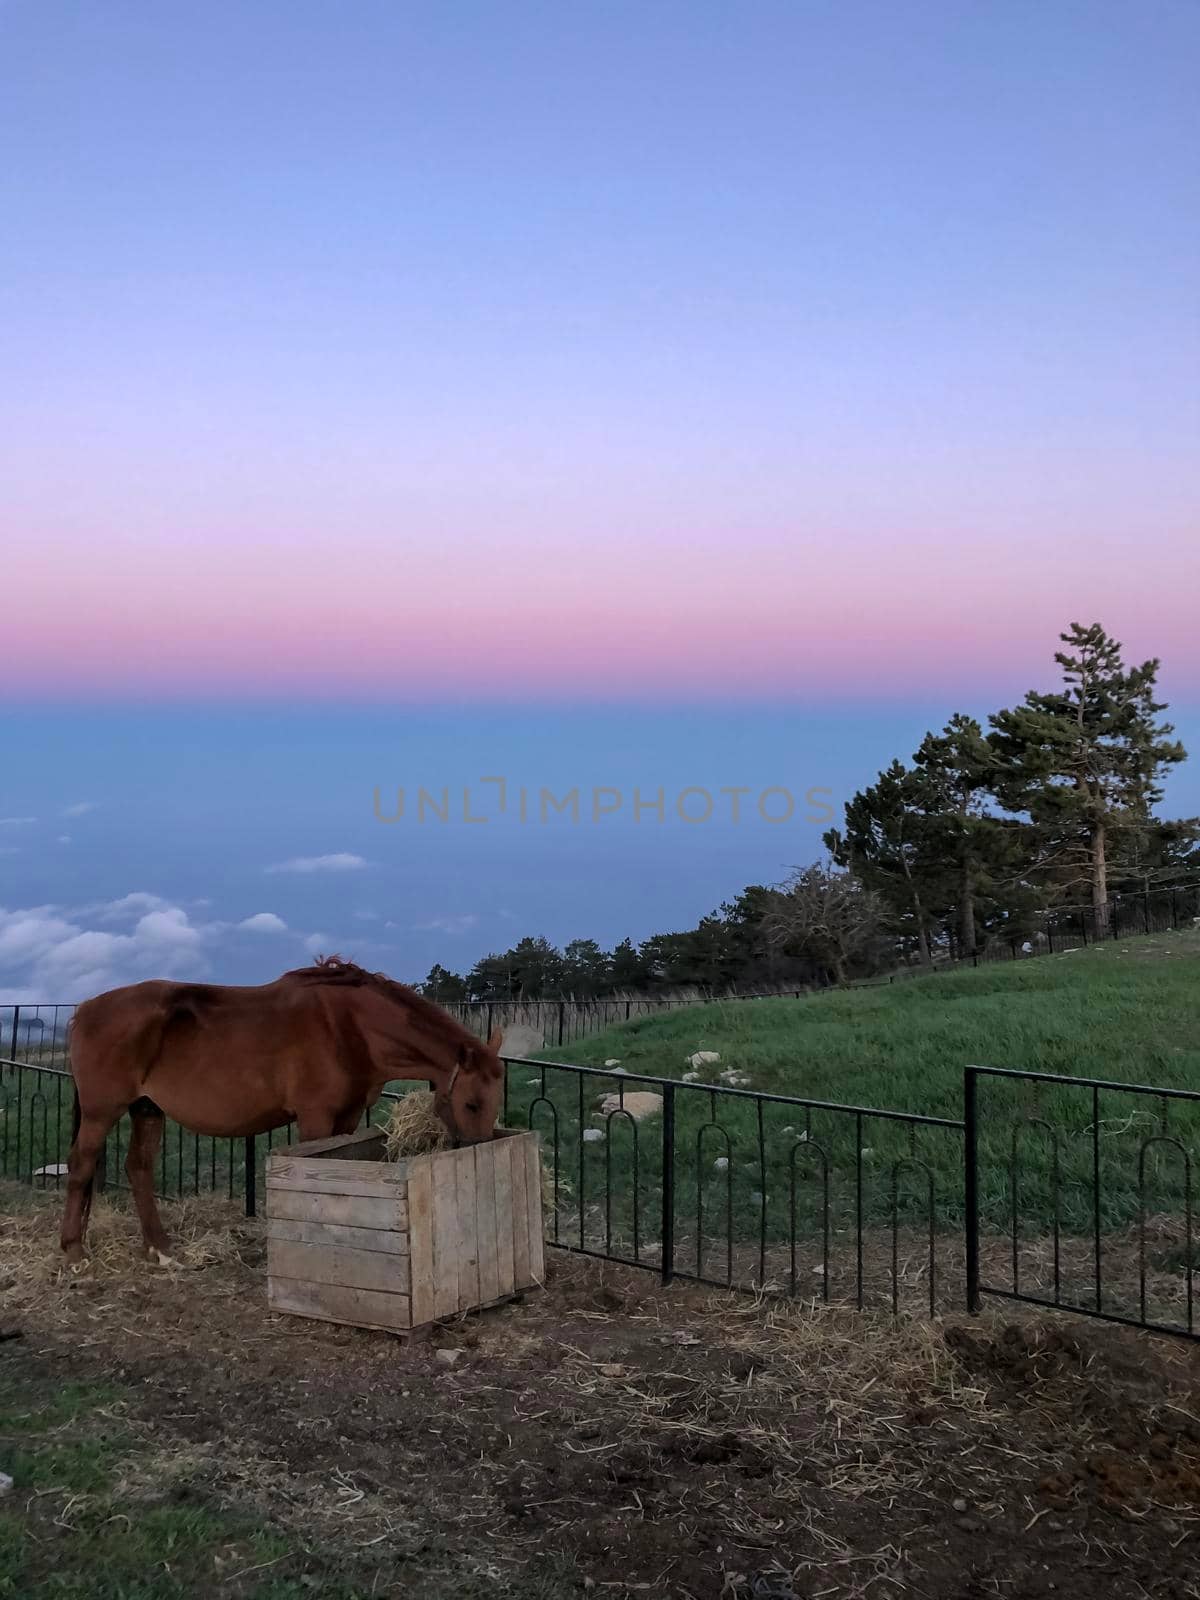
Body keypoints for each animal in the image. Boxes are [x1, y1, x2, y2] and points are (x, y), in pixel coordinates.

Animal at [60, 960, 508, 1260]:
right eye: (471, 1103)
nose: (476, 1148)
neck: (349, 1026)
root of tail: (83, 1010)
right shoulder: (315, 1118)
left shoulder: (346, 1118)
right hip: (102, 1112)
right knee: (81, 1165)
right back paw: (73, 1250)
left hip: (147, 1109)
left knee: (139, 1168)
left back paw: (161, 1249)